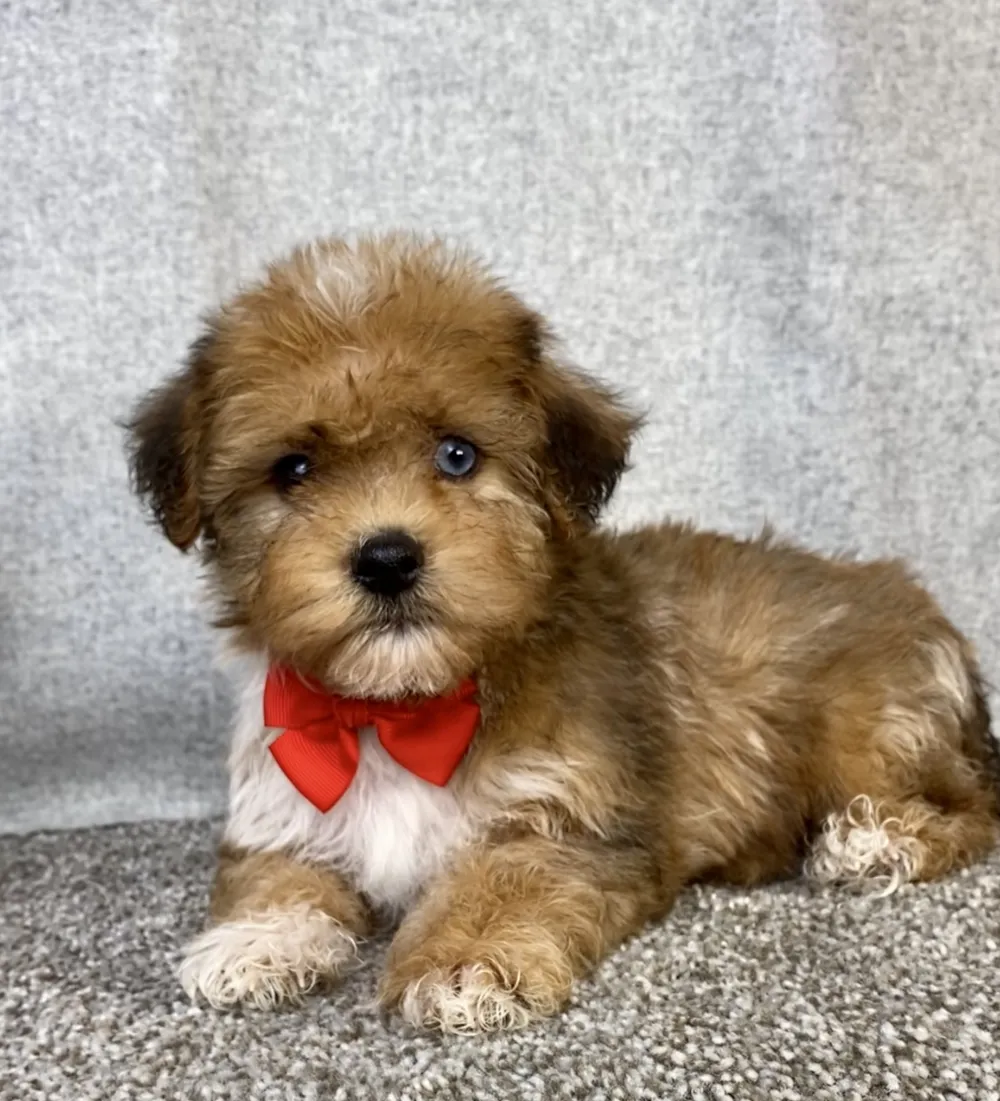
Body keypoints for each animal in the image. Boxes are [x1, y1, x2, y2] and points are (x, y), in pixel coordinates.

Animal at [127, 233, 999, 1032]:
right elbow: (275, 874)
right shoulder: (282, 808)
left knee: (974, 806)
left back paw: (877, 841)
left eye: (457, 455)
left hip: (864, 724)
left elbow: (504, 880)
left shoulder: (567, 818)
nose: (386, 558)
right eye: (293, 470)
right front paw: (255, 938)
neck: (402, 708)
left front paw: (463, 960)